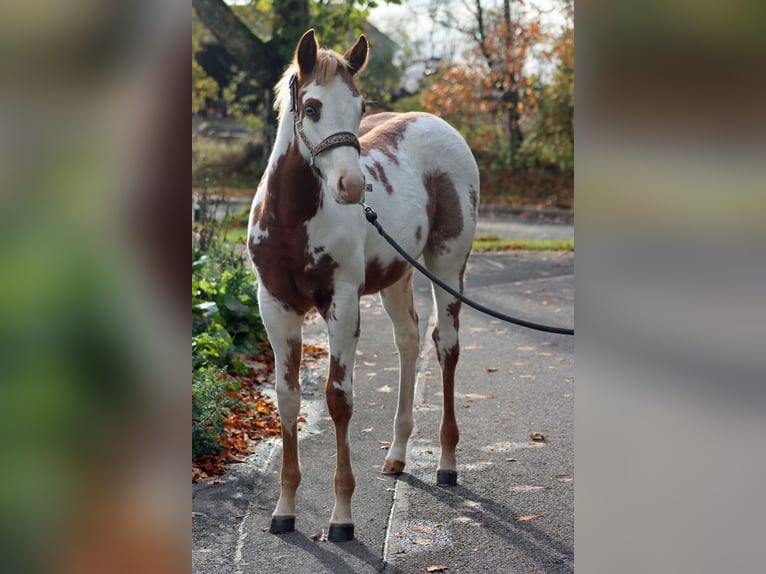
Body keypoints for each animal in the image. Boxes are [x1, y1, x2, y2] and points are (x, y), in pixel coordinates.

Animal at [247, 29, 480, 542]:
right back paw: (396, 455)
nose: (353, 187)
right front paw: (284, 510)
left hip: (447, 265)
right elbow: (287, 398)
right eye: (312, 107)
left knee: (446, 345)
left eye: (359, 107)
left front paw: (342, 516)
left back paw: (447, 462)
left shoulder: (343, 303)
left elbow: (338, 399)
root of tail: (439, 123)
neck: (293, 221)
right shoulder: (275, 306)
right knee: (409, 340)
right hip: (398, 274)